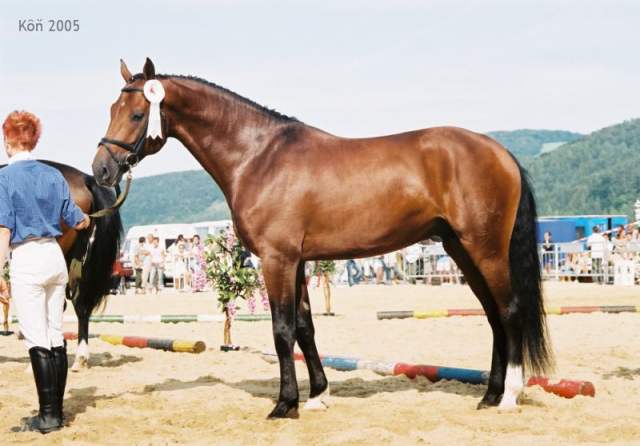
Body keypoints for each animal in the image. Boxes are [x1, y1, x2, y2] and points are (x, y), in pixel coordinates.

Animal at [92, 58, 553, 418]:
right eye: (112, 108)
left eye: (137, 115)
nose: (101, 170)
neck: (258, 156)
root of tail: (500, 152)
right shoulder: (297, 261)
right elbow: (304, 327)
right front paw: (317, 395)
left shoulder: (277, 260)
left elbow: (281, 330)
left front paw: (285, 404)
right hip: (461, 250)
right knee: (493, 317)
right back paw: (489, 395)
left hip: (485, 249)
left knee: (509, 312)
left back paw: (509, 396)